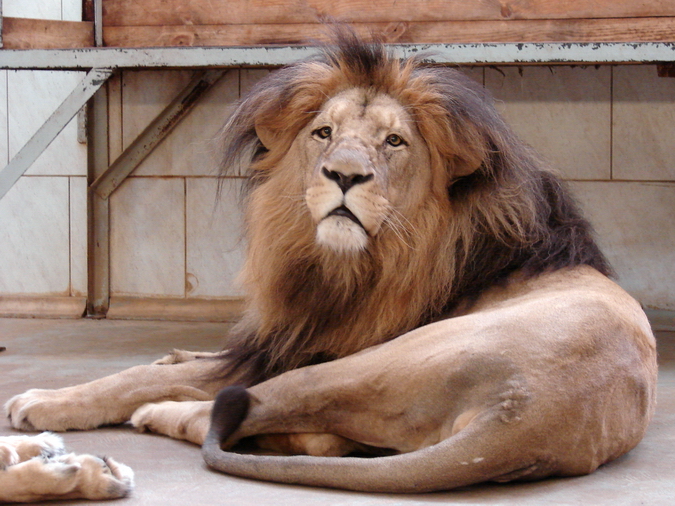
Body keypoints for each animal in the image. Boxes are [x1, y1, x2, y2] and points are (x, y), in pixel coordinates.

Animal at [5, 32, 657, 494]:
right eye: (323, 132)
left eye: (394, 142)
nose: (344, 175)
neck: (342, 266)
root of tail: (523, 412)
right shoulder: (286, 335)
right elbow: (183, 359)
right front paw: (174, 354)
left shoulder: (306, 348)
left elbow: (139, 376)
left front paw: (44, 401)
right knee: (311, 436)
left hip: (365, 363)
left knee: (240, 411)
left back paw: (159, 414)